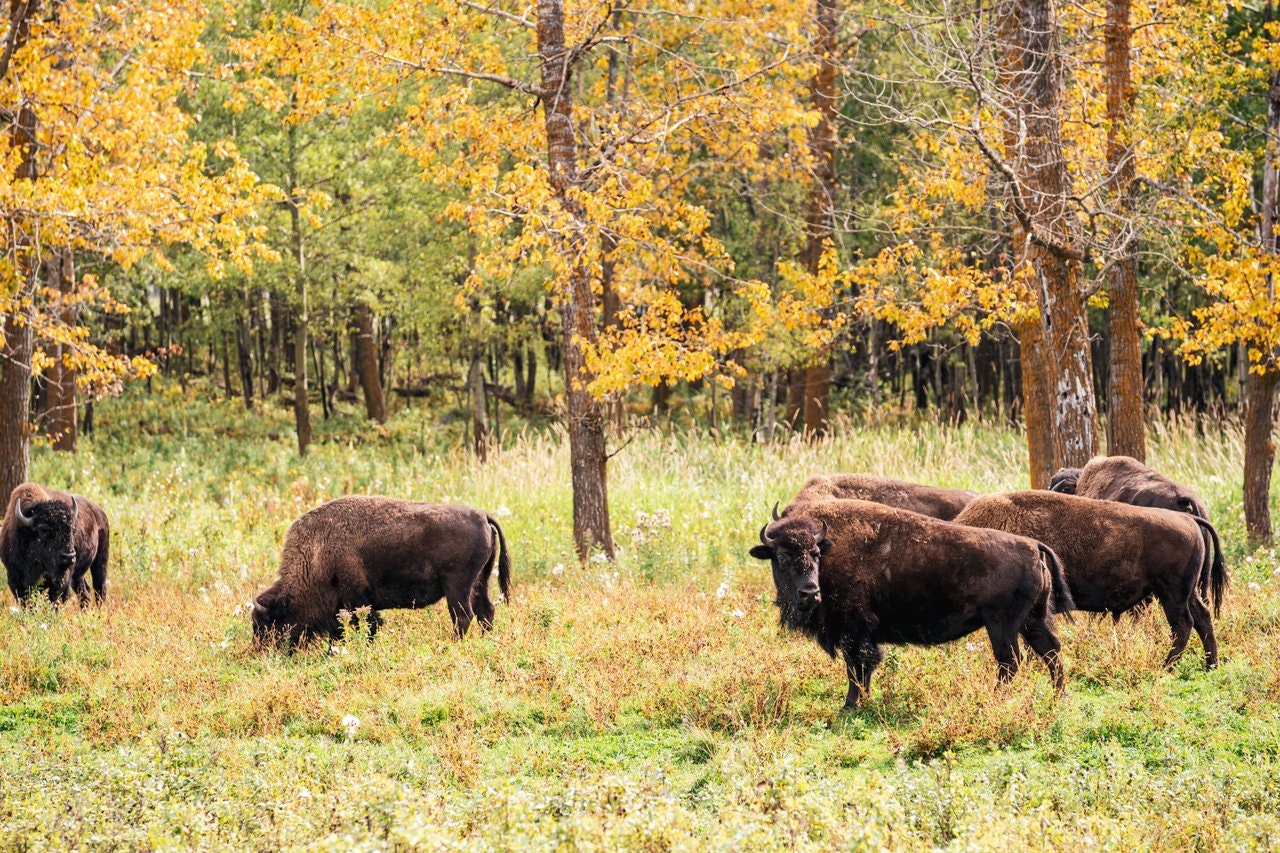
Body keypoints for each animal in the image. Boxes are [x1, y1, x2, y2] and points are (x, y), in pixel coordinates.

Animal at [249, 494, 509, 640]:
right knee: (485, 611)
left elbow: (367, 625)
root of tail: (482, 515)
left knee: (463, 616)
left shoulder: (356, 598)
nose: (264, 651)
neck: (316, 552)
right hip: (479, 582)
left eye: (267, 625)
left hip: (457, 587)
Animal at [747, 494, 1075, 706]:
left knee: (1011, 661)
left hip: (1001, 625)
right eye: (781, 557)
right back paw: (1058, 697)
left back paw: (995, 698)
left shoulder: (855, 630)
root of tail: (1032, 546)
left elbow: (857, 667)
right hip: (1033, 620)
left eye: (815, 554)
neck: (830, 550)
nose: (810, 593)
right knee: (1050, 652)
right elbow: (862, 668)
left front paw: (850, 705)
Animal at [957, 489, 1223, 666]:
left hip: (1172, 594)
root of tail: (1188, 518)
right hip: (1186, 592)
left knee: (1183, 624)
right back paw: (1210, 665)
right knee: (1202, 618)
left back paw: (1166, 666)